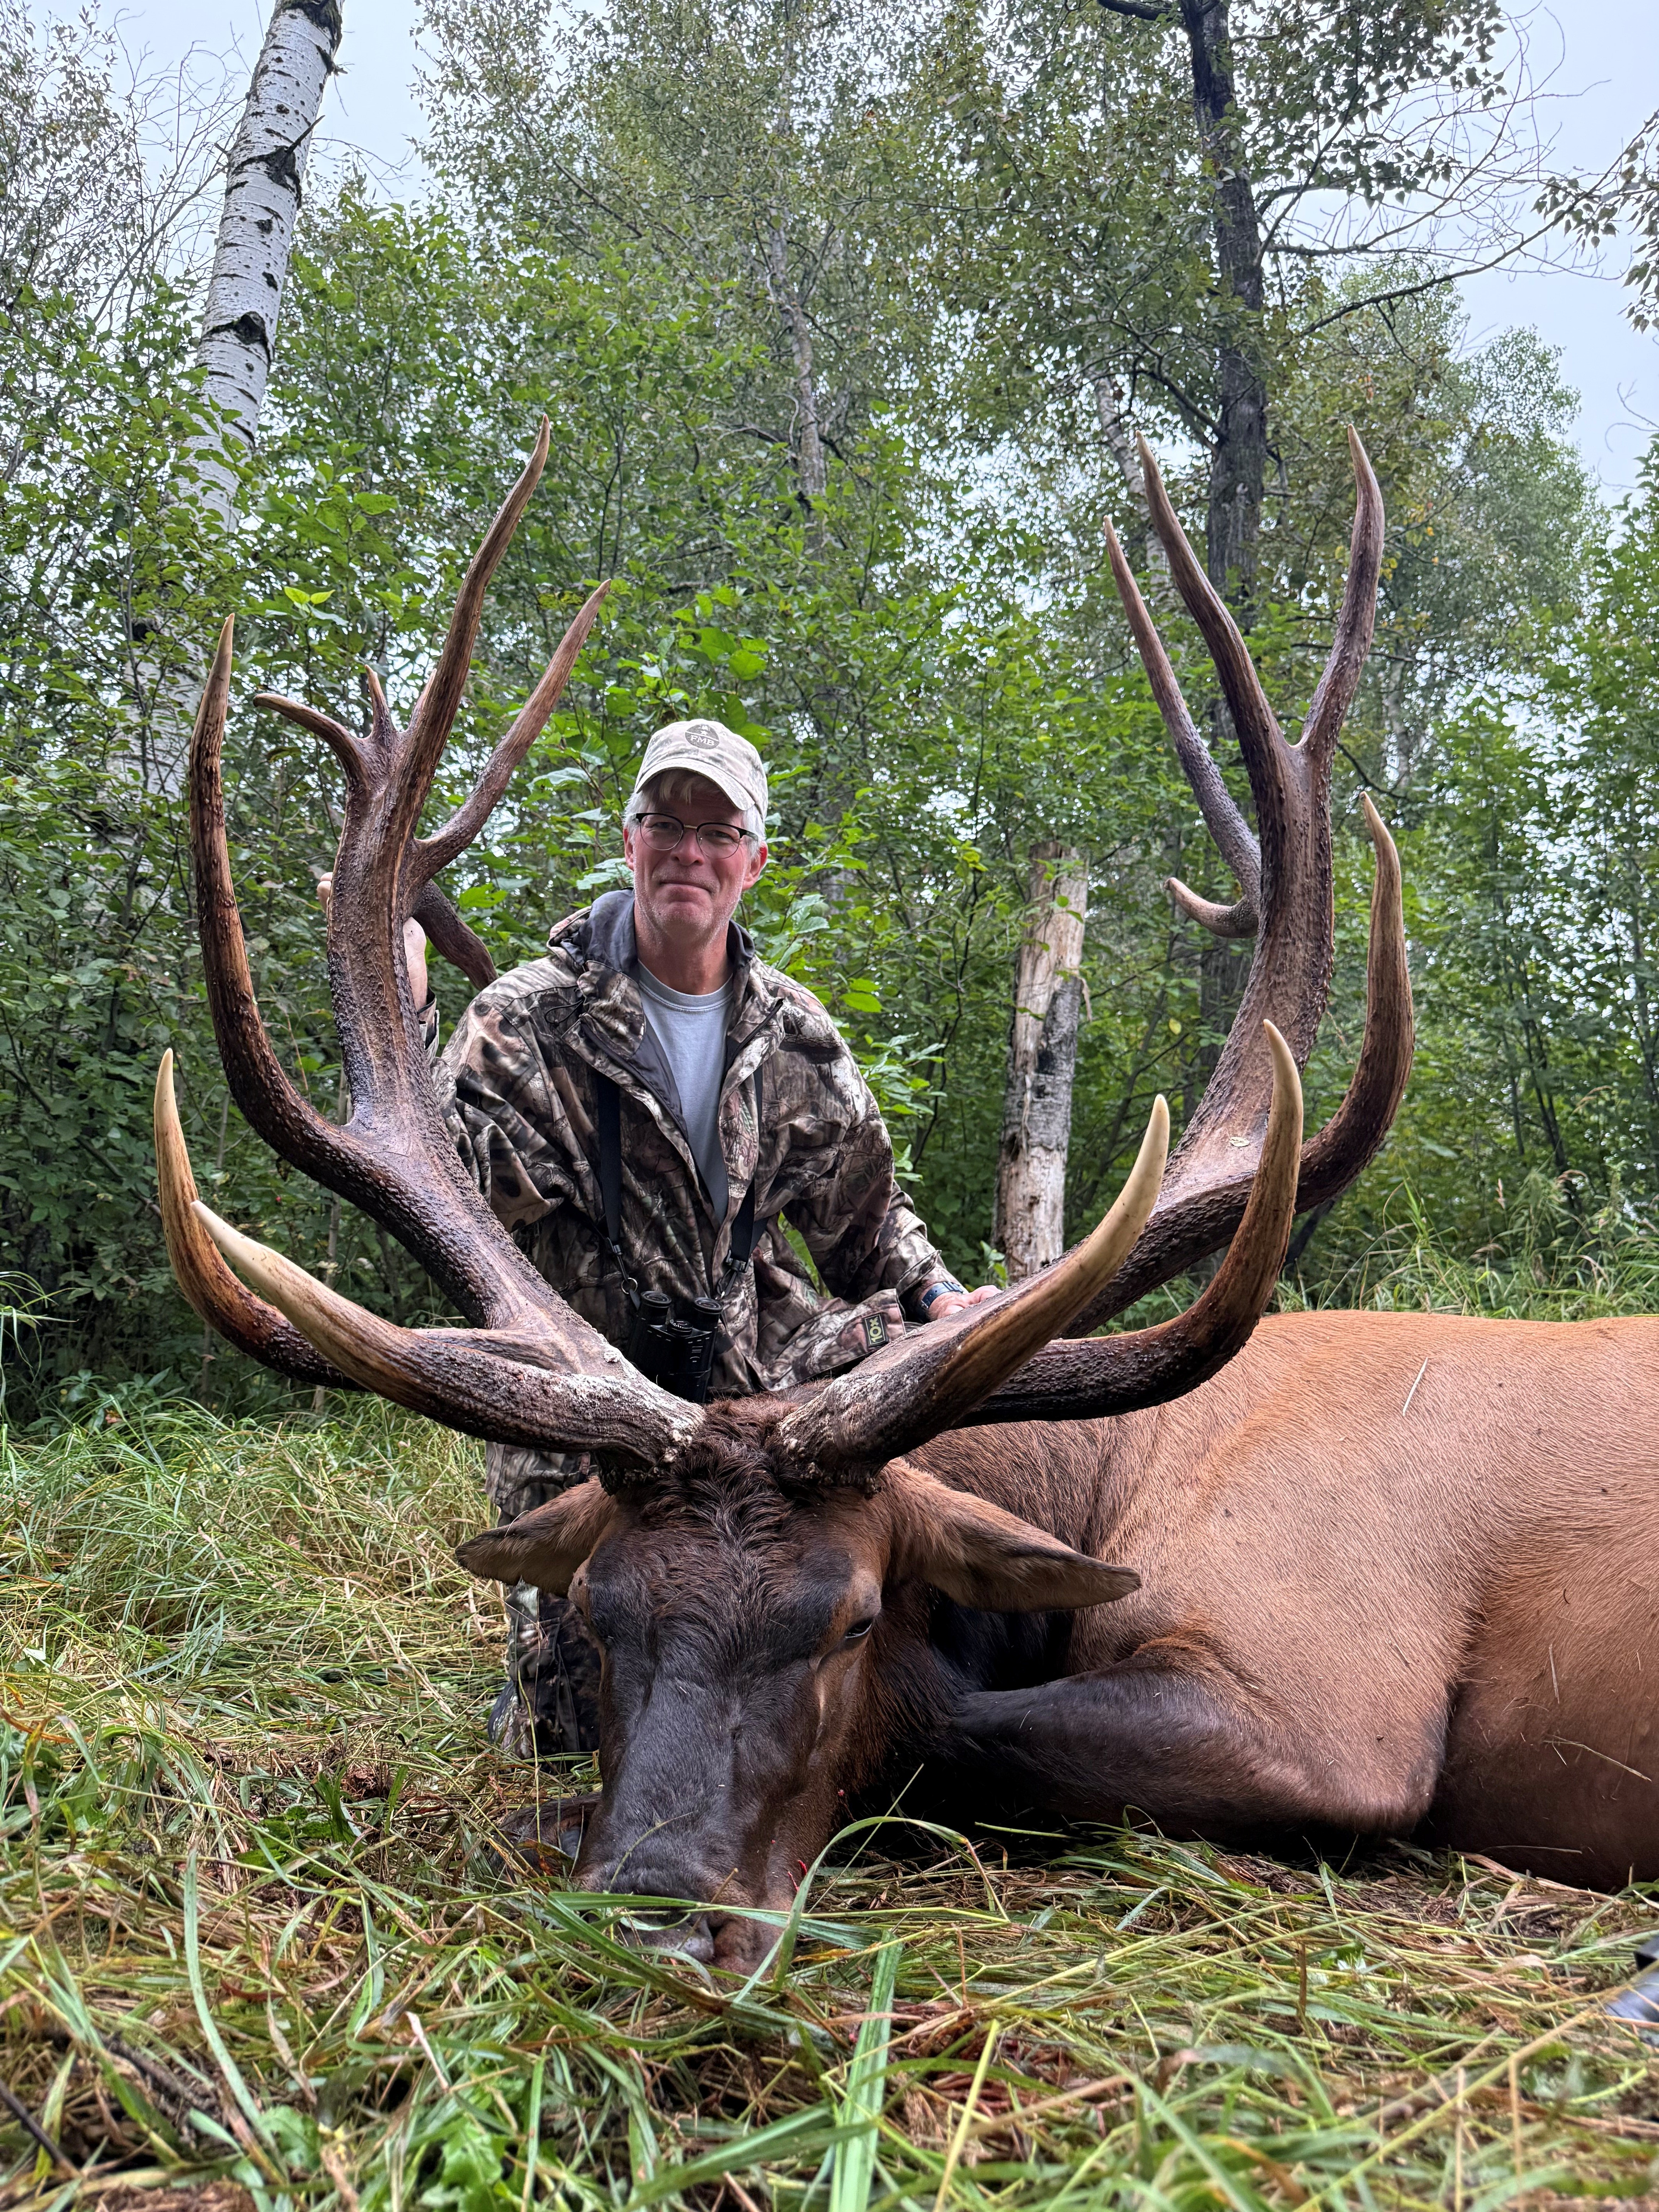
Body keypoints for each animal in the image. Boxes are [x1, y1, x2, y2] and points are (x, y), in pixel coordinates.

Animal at [153, 420, 1659, 1974]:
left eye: (850, 1618)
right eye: (601, 1611)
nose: (658, 1911)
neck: (1117, 1477)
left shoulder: (1323, 1694)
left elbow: (957, 1730)